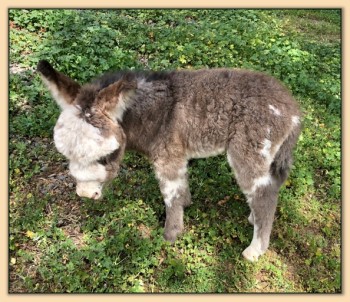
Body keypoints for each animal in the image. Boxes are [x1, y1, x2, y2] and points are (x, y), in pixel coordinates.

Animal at [37, 60, 300, 260]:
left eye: (106, 156)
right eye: (67, 155)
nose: (84, 194)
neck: (153, 113)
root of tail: (294, 109)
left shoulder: (167, 157)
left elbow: (170, 194)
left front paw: (170, 236)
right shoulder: (178, 156)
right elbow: (181, 188)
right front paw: (186, 204)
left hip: (249, 153)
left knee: (265, 194)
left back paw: (255, 250)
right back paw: (253, 219)